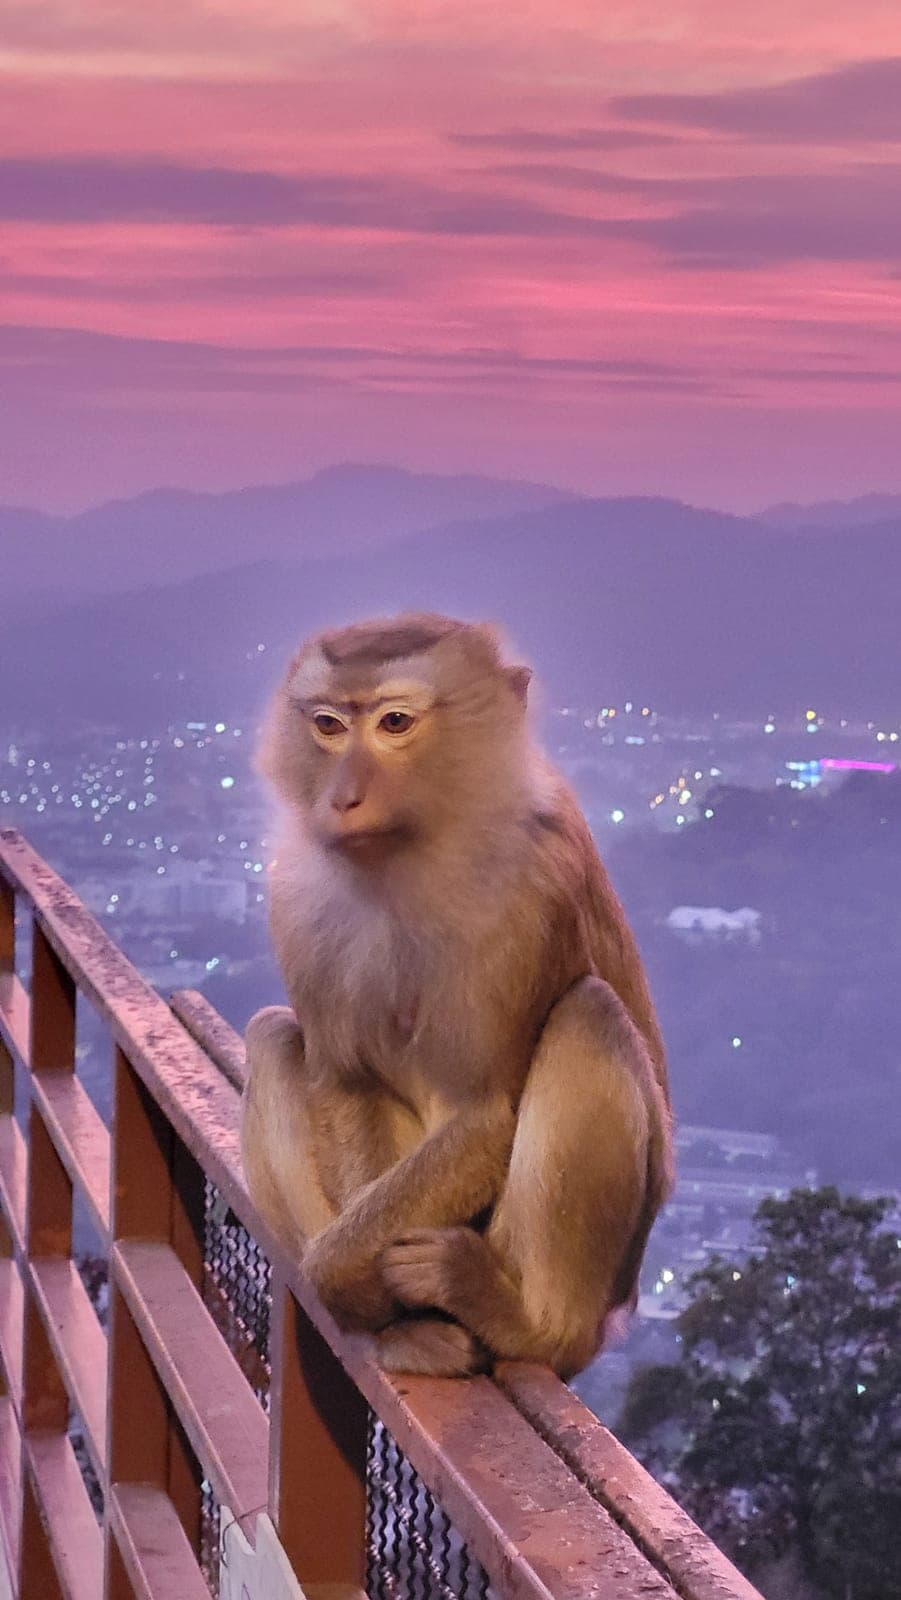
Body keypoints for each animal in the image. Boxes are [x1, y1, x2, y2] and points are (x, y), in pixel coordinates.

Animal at [241, 613, 674, 1379]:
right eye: (327, 724)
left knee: (588, 1015)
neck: (409, 852)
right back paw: (403, 1328)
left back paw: (526, 1324)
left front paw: (336, 1274)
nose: (342, 797)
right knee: (269, 1038)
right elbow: (344, 1079)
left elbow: (481, 1113)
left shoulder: (529, 889)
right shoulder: (293, 895)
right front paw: (357, 1291)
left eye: (394, 721)